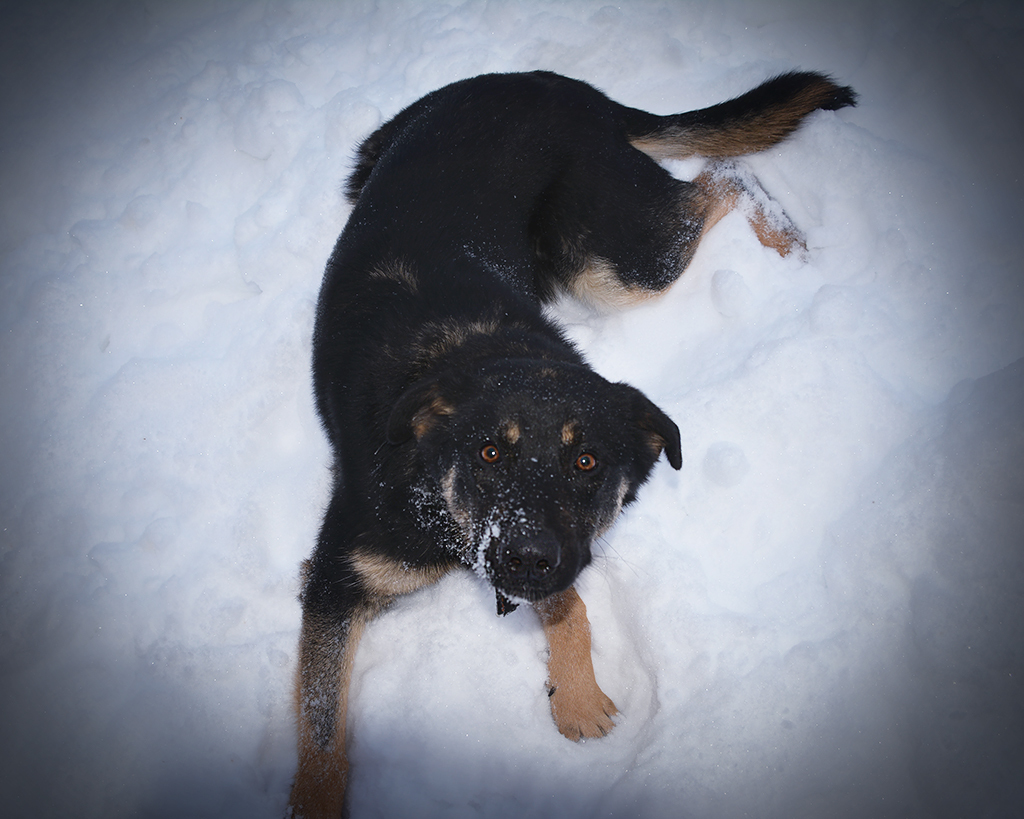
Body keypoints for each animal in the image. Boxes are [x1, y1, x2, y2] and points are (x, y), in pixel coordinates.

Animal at [288, 70, 856, 818]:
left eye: (587, 463)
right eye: (489, 454)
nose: (527, 557)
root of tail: (560, 86)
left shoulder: (552, 550)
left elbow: (571, 598)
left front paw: (577, 694)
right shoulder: (335, 579)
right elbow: (323, 728)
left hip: (611, 263)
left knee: (722, 177)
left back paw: (789, 249)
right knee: (718, 178)